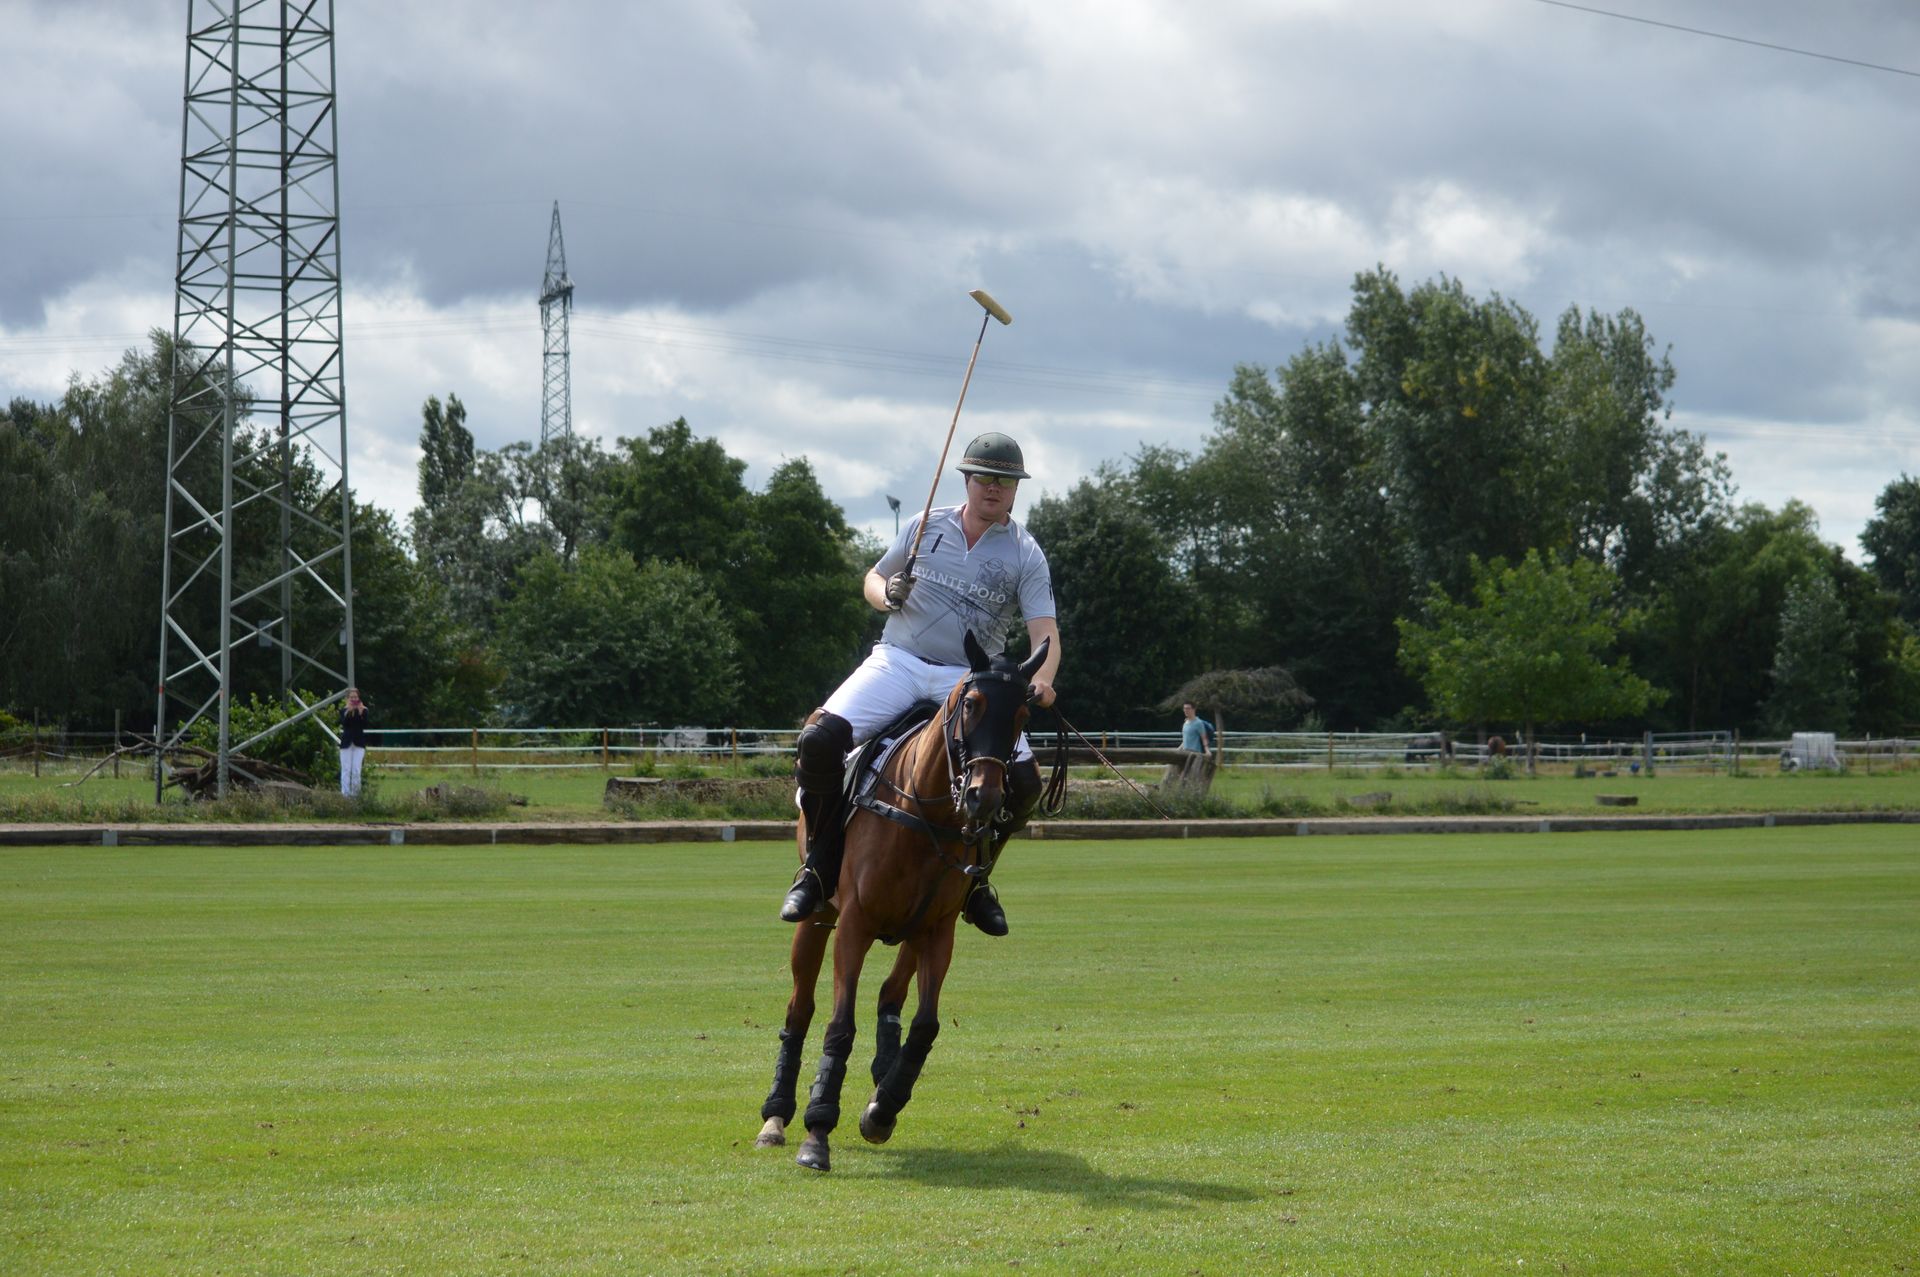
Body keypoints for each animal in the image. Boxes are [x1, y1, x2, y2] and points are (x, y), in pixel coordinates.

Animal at [754, 630, 1050, 1172]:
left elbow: (926, 1024)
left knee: (890, 994)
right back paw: (776, 1116)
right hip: (819, 917)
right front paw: (818, 1131)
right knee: (799, 1010)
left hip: (913, 929)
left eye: (1023, 714)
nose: (984, 798)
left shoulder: (939, 930)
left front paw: (883, 1107)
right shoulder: (854, 923)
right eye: (972, 704)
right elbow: (838, 1026)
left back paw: (882, 1077)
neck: (926, 813)